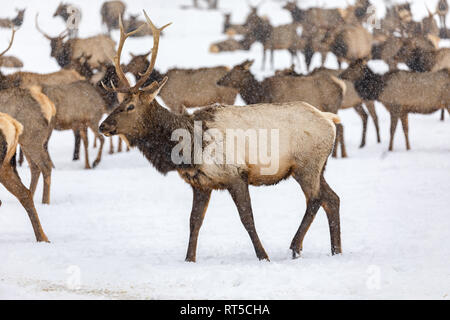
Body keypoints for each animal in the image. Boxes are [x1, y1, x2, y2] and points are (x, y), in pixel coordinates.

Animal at [100, 11, 342, 262]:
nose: (103, 126)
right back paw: (336, 250)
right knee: (332, 198)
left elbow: (247, 219)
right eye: (119, 103)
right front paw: (189, 259)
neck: (190, 149)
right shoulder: (200, 184)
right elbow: (194, 221)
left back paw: (295, 246)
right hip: (316, 167)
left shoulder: (236, 174)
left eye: (130, 106)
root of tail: (329, 119)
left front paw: (263, 256)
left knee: (315, 199)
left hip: (307, 165)